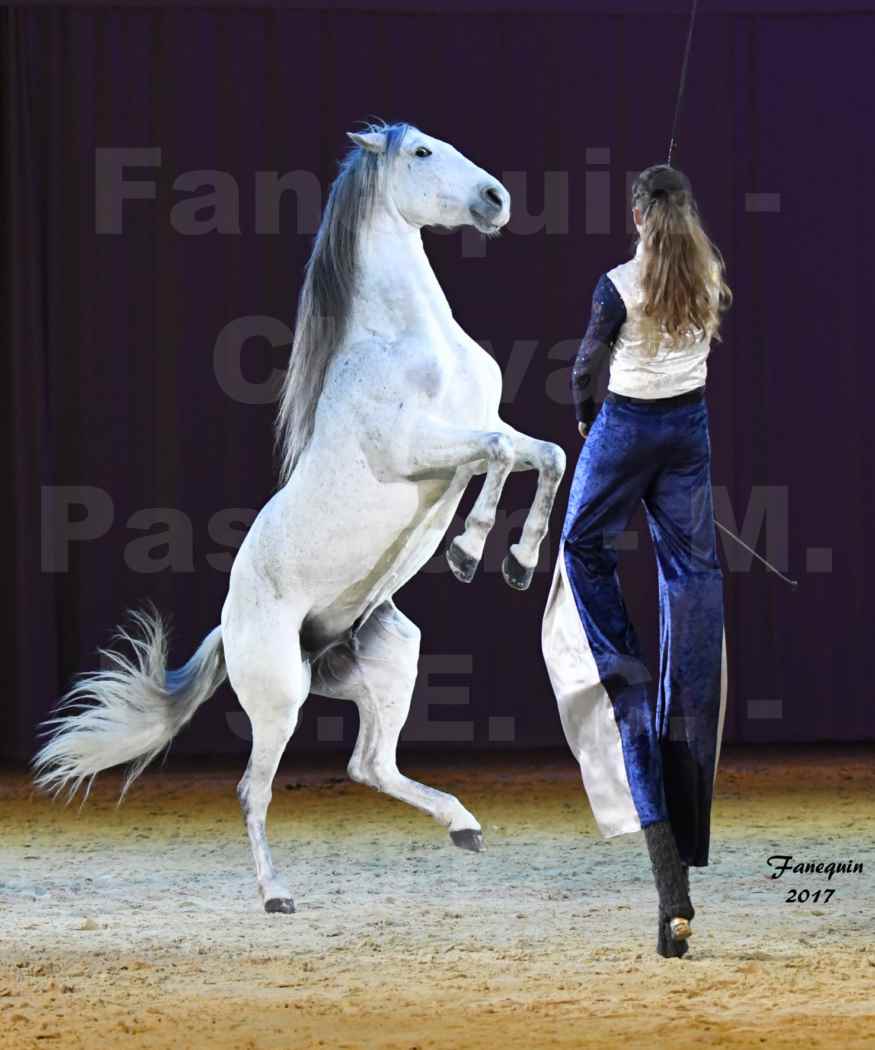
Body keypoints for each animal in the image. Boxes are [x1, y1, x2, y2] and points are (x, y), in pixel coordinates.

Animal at [32, 120, 567, 911]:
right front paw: (471, 553)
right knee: (254, 790)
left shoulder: (479, 430)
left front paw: (518, 564)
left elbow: (545, 455)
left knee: (369, 765)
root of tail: (230, 627)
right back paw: (275, 895)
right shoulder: (418, 449)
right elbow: (499, 456)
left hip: (389, 658)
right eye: (421, 152)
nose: (494, 199)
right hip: (279, 697)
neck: (409, 341)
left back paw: (464, 827)